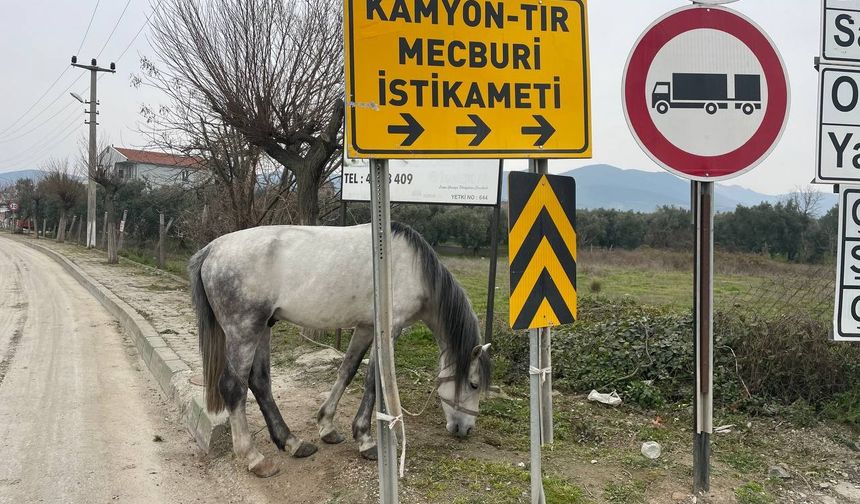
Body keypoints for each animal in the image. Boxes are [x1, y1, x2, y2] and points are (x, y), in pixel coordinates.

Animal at [191, 221, 494, 476]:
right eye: (474, 384)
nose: (466, 429)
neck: (412, 268)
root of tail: (210, 250)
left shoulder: (365, 327)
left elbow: (347, 370)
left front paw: (327, 426)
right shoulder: (388, 330)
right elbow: (373, 382)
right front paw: (365, 440)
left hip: (264, 327)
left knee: (260, 382)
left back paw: (292, 442)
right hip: (244, 330)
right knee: (234, 387)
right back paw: (254, 458)